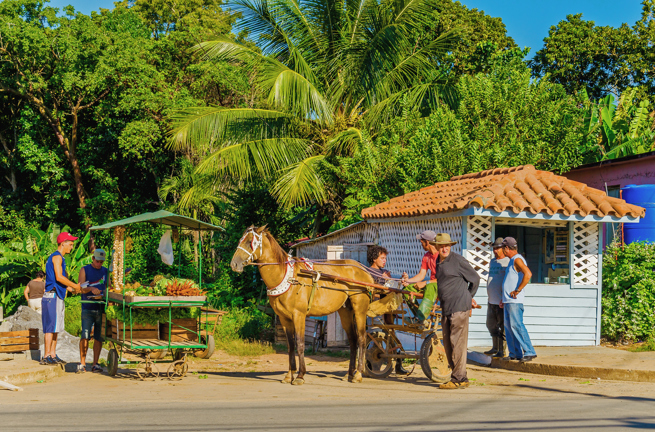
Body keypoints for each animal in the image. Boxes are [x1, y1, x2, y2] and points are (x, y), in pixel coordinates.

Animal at [231, 226, 374, 384]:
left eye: (250, 241)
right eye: (240, 240)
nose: (234, 264)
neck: (287, 277)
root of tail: (364, 270)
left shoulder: (298, 315)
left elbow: (300, 344)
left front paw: (300, 376)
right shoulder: (284, 318)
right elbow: (290, 346)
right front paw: (289, 374)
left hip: (360, 310)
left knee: (362, 339)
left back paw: (358, 374)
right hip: (345, 312)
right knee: (353, 340)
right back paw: (349, 374)